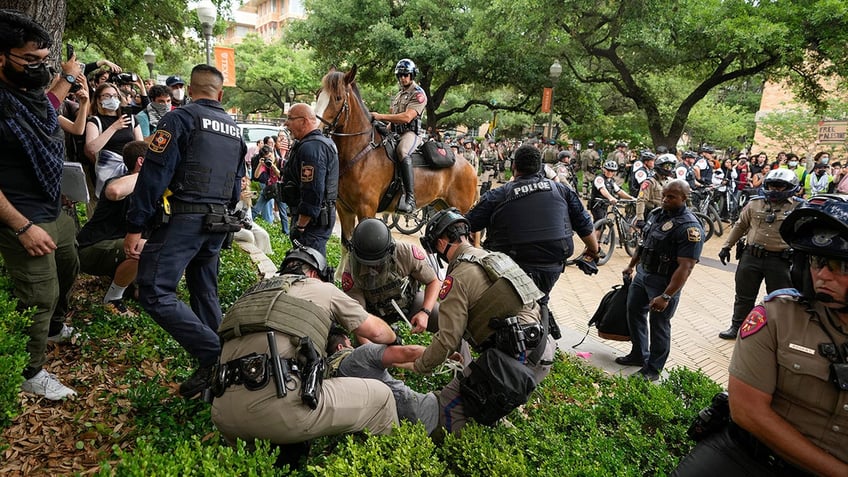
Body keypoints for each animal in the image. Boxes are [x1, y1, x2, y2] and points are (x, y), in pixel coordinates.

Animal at [314, 64, 480, 245]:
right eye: (318, 94)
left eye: (337, 98)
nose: (316, 128)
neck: (361, 153)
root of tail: (471, 167)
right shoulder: (344, 209)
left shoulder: (366, 209)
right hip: (441, 205)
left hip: (461, 210)